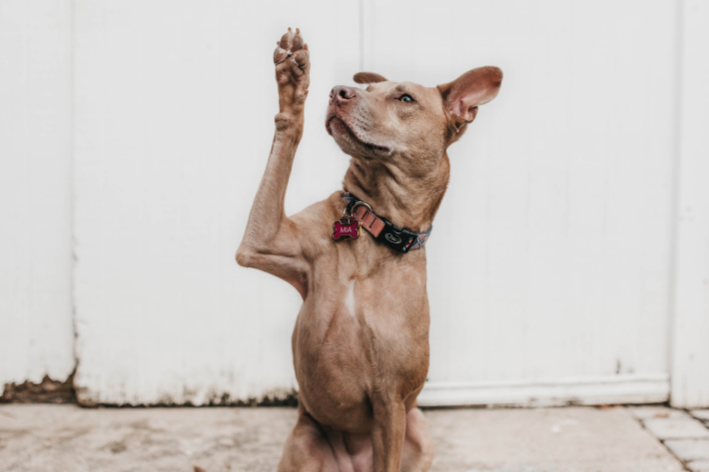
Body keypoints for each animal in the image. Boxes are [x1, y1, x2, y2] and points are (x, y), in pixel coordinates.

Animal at [239, 29, 504, 472]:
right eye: (368, 89)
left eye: (405, 98)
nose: (338, 91)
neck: (372, 227)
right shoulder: (260, 242)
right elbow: (287, 135)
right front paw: (292, 84)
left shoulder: (390, 403)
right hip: (304, 443)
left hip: (418, 430)